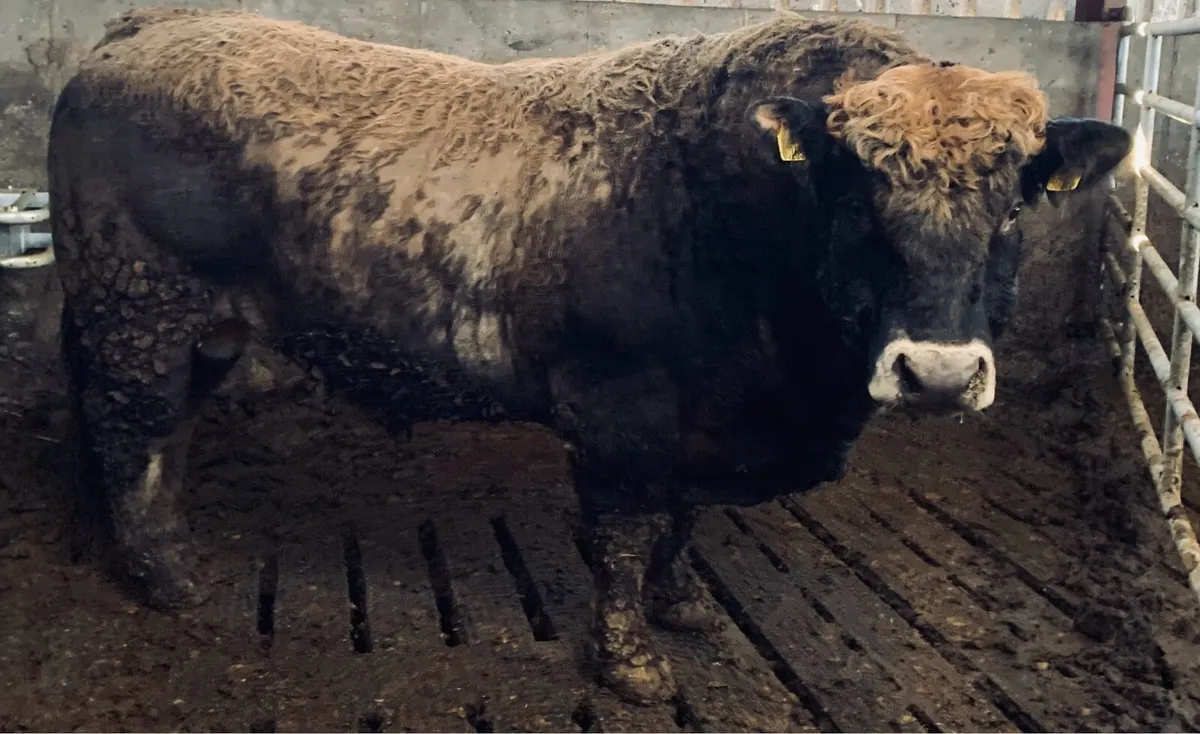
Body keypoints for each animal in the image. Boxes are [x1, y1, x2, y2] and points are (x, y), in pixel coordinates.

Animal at [48, 7, 1130, 705]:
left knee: (156, 433)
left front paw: (680, 603)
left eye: (1016, 204)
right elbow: (619, 535)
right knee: (129, 432)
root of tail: (140, 31)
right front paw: (629, 661)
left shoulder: (707, 414)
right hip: (138, 312)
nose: (937, 374)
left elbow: (683, 523)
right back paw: (166, 575)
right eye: (858, 195)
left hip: (191, 328)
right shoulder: (620, 408)